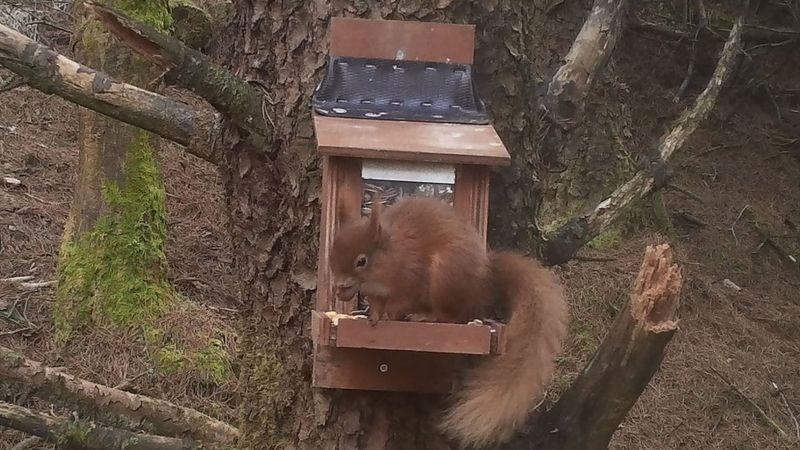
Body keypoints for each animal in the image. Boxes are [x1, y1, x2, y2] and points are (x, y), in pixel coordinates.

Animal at [330, 195, 568, 448]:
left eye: (361, 261)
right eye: (332, 253)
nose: (339, 288)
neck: (392, 253)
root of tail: (485, 282)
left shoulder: (411, 276)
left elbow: (401, 302)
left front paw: (388, 316)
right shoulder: (375, 293)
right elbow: (376, 305)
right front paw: (372, 317)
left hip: (444, 276)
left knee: (449, 315)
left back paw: (425, 316)